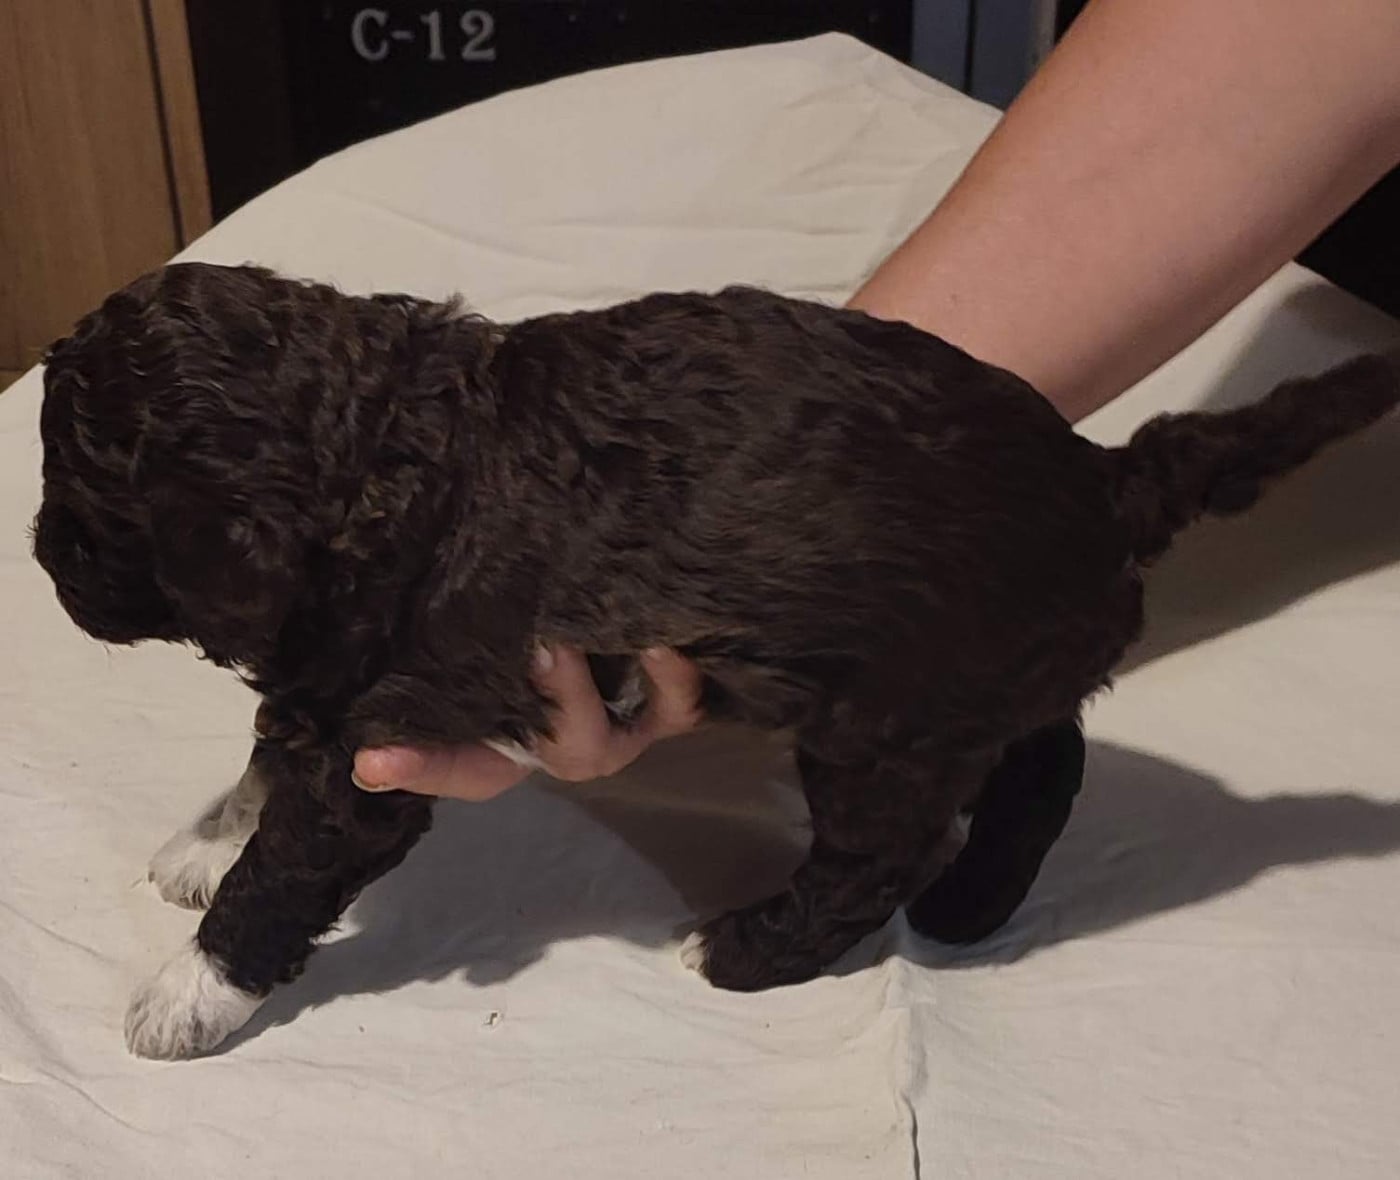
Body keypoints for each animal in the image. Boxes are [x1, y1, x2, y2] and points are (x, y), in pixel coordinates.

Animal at [32, 262, 1398, 1059]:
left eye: (82, 498)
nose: (40, 555)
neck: (381, 455)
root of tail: (1108, 481)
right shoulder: (328, 671)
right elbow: (270, 751)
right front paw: (205, 841)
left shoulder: (376, 739)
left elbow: (286, 860)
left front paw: (187, 993)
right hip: (981, 682)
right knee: (1045, 762)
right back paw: (972, 903)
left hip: (880, 724)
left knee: (881, 850)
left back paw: (748, 950)